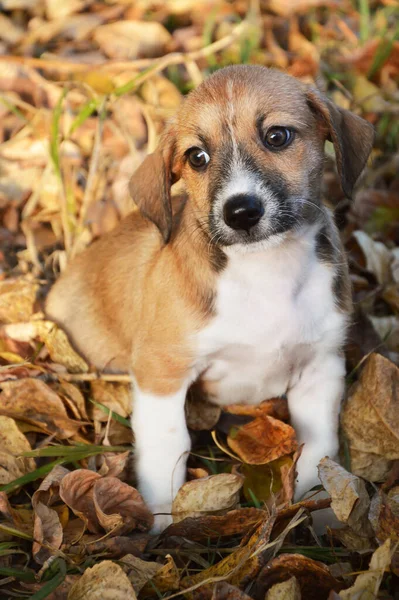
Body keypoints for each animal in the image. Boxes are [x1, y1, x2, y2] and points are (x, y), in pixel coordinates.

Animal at [47, 65, 376, 532]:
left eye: (277, 136)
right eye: (197, 157)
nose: (241, 212)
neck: (264, 272)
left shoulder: (320, 368)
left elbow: (319, 447)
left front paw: (325, 511)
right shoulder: (161, 372)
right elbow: (169, 447)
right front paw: (162, 525)